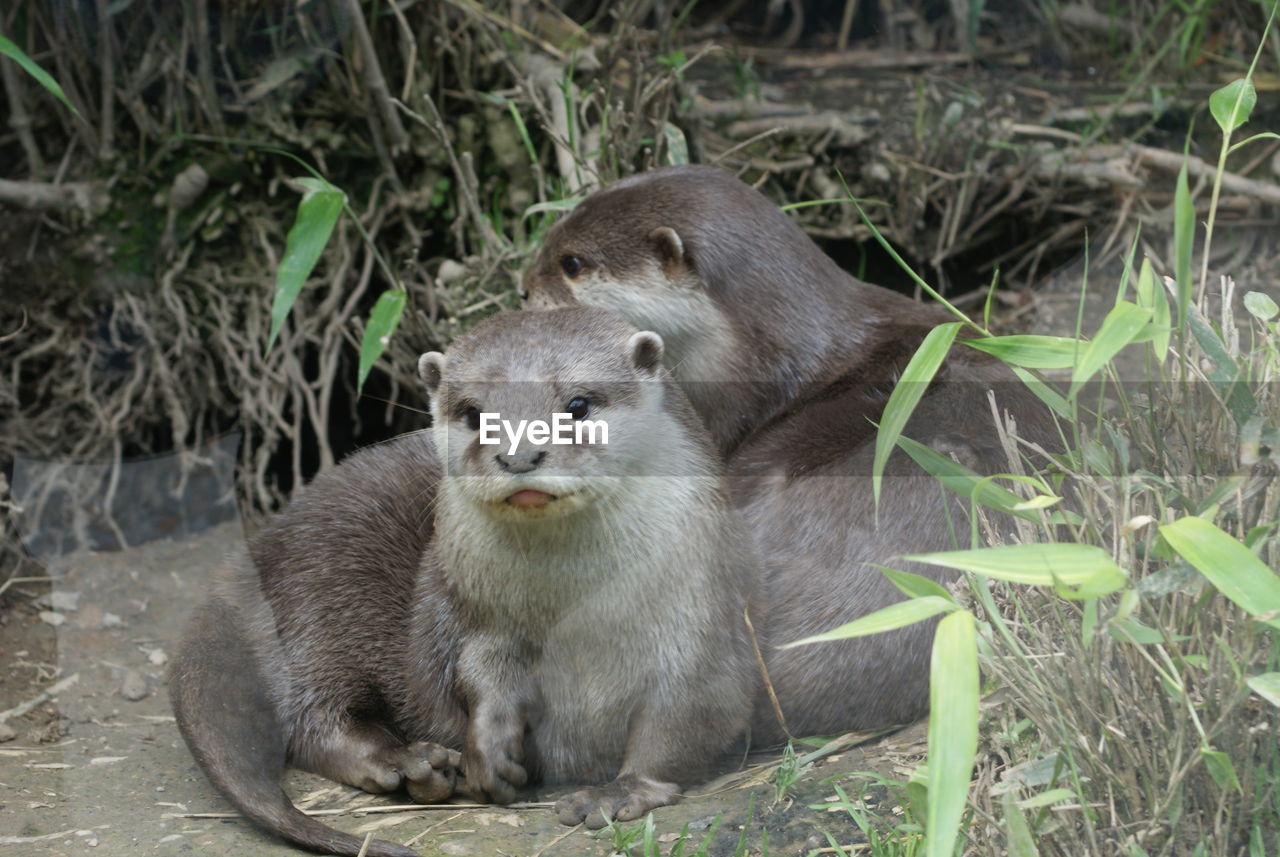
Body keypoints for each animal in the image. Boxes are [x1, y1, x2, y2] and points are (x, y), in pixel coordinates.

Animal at [165, 310, 752, 857]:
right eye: (475, 413)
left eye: (579, 405)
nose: (519, 454)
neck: (576, 617)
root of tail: (258, 549)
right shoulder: (469, 605)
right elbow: (472, 668)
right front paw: (489, 748)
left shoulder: (700, 614)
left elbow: (689, 713)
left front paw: (620, 790)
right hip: (318, 599)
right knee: (311, 715)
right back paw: (408, 763)